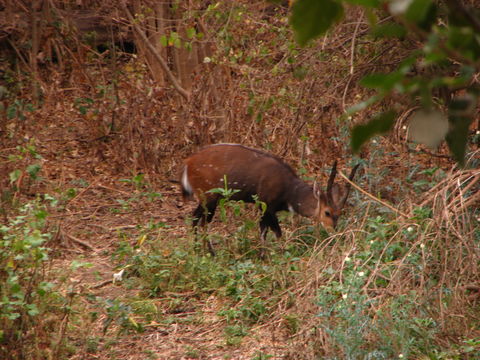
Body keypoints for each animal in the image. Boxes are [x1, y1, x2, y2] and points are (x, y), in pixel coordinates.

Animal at [181, 143, 360, 256]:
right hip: (210, 196)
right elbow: (273, 232)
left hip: (206, 198)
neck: (289, 191)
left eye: (339, 213)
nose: (334, 232)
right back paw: (212, 253)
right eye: (327, 212)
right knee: (204, 222)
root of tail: (188, 163)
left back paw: (197, 250)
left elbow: (266, 230)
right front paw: (270, 256)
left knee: (194, 217)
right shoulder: (265, 205)